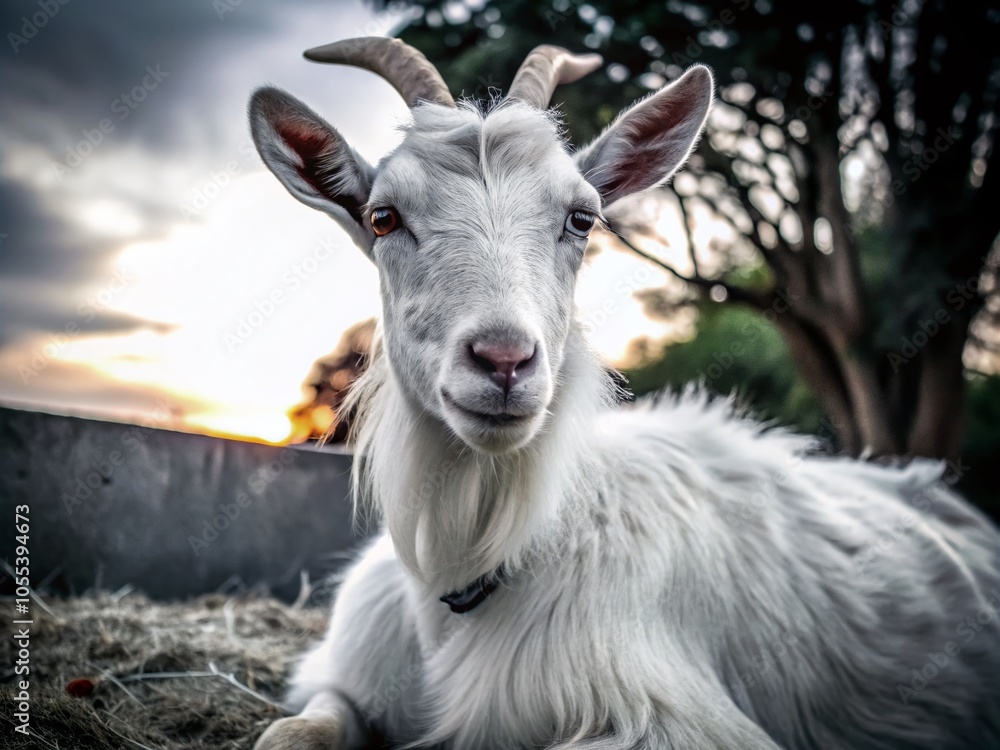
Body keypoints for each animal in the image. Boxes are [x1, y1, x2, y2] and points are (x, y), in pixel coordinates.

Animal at [248, 37, 1000, 750]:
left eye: (581, 218)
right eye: (382, 217)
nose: (504, 360)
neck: (466, 571)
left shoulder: (675, 715)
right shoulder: (344, 677)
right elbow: (288, 733)